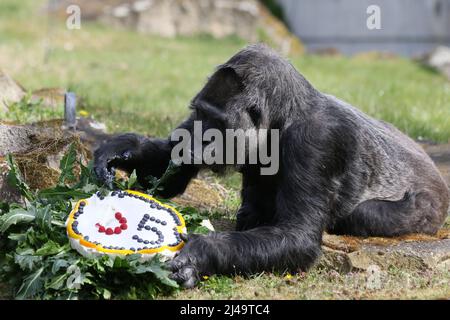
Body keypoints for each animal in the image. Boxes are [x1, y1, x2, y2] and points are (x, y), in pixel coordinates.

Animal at [93, 44, 448, 288]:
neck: (284, 119)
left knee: (364, 215)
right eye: (200, 114)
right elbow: (172, 166)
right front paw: (122, 151)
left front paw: (198, 253)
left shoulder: (316, 141)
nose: (199, 138)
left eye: (216, 122)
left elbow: (297, 236)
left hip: (433, 207)